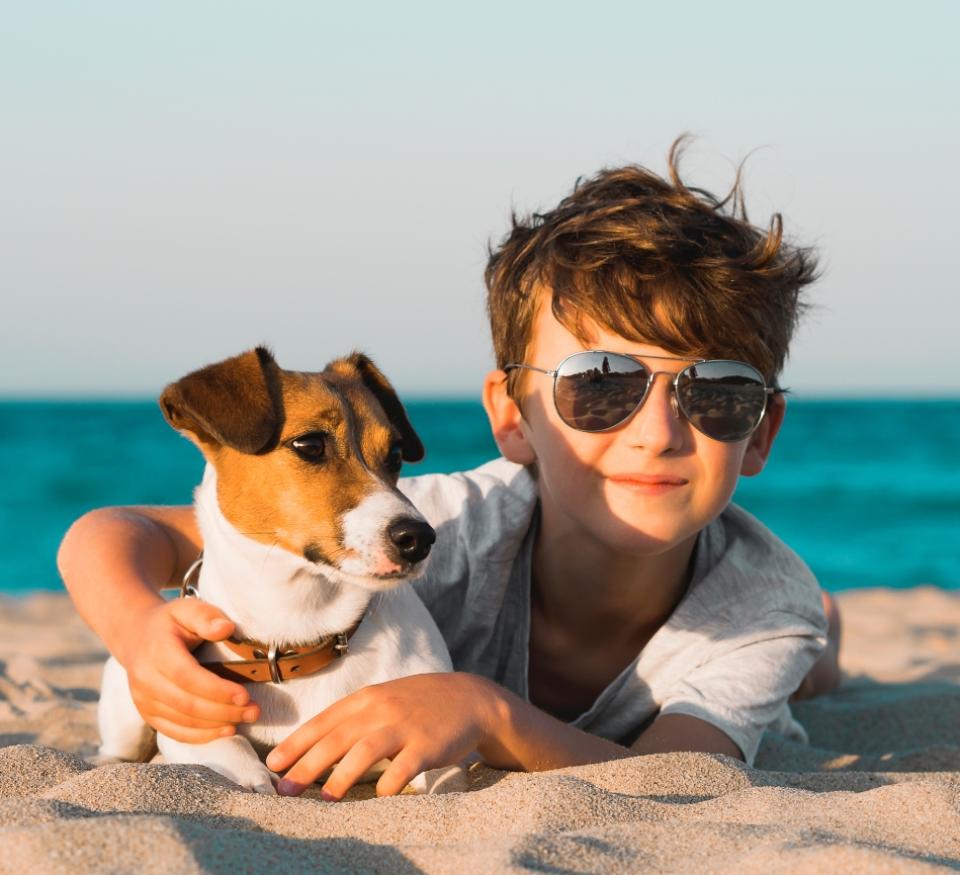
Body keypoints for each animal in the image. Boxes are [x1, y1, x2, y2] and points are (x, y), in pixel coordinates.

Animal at [96, 348, 458, 792]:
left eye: (394, 456)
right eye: (310, 444)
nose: (420, 538)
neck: (301, 628)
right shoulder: (188, 722)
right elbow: (233, 753)